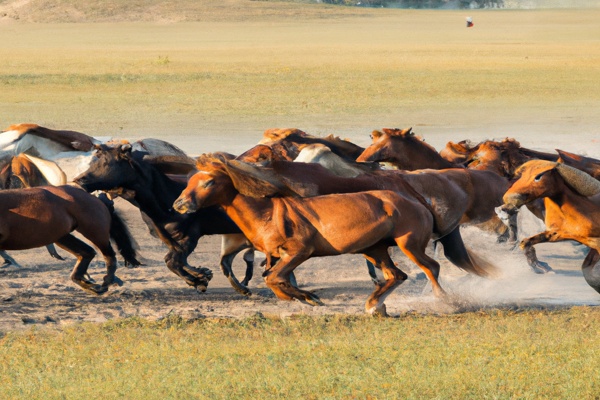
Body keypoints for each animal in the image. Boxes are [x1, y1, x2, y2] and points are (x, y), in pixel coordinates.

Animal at [0, 185, 139, 294]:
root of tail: (94, 198)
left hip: (95, 233)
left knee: (109, 256)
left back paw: (105, 282)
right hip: (61, 237)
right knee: (87, 253)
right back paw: (88, 284)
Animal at [74, 143, 254, 294]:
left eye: (106, 162)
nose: (79, 180)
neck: (167, 199)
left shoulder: (191, 235)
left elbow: (173, 261)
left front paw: (199, 279)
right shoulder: (170, 238)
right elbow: (175, 260)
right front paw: (201, 276)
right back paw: (241, 286)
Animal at [173, 153, 446, 316]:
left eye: (208, 182)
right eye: (189, 182)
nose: (179, 204)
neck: (266, 214)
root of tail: (420, 203)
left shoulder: (300, 252)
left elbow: (274, 278)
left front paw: (311, 298)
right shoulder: (277, 256)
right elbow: (273, 281)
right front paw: (304, 297)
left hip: (409, 244)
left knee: (431, 268)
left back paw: (443, 301)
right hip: (374, 249)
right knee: (396, 275)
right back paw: (374, 306)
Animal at [502, 159, 600, 294]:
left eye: (538, 176)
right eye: (521, 175)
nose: (509, 198)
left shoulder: (596, 243)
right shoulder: (559, 234)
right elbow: (525, 242)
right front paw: (540, 267)